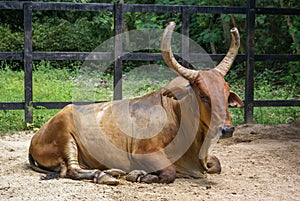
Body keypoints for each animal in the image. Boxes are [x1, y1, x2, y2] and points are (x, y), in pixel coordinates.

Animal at [28, 21, 244, 184]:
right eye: (202, 95)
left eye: (226, 94)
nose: (227, 129)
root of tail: (36, 137)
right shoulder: (143, 153)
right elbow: (170, 172)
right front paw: (139, 174)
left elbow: (216, 165)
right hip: (66, 138)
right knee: (71, 170)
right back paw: (104, 175)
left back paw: (112, 172)